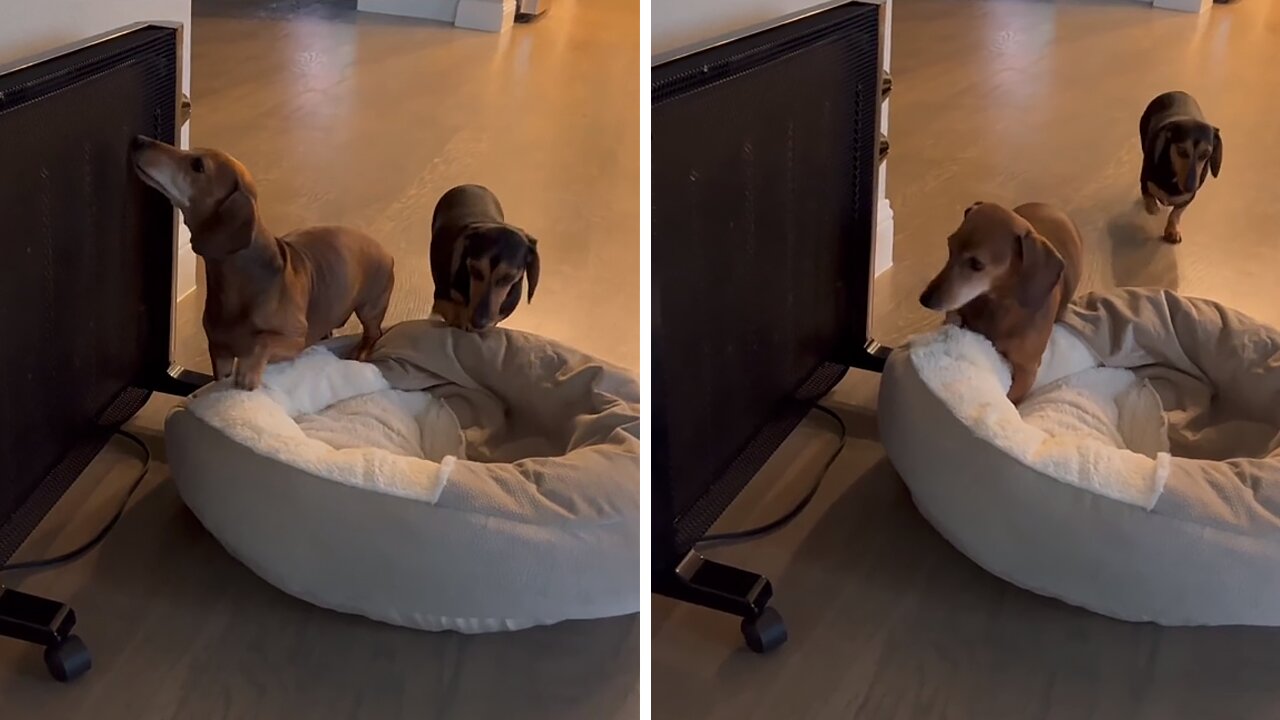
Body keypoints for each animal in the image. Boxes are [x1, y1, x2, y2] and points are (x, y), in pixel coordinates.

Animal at [129, 136, 391, 389]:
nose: (138, 140)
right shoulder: (219, 352)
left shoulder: (294, 339)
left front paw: (247, 373)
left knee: (374, 333)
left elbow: (262, 341)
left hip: (370, 307)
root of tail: (385, 251)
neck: (239, 283)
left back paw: (360, 352)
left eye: (198, 165)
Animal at [921, 202, 1080, 399]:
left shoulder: (1028, 370)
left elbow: (1012, 397)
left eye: (977, 264)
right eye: (950, 246)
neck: (997, 305)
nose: (924, 299)